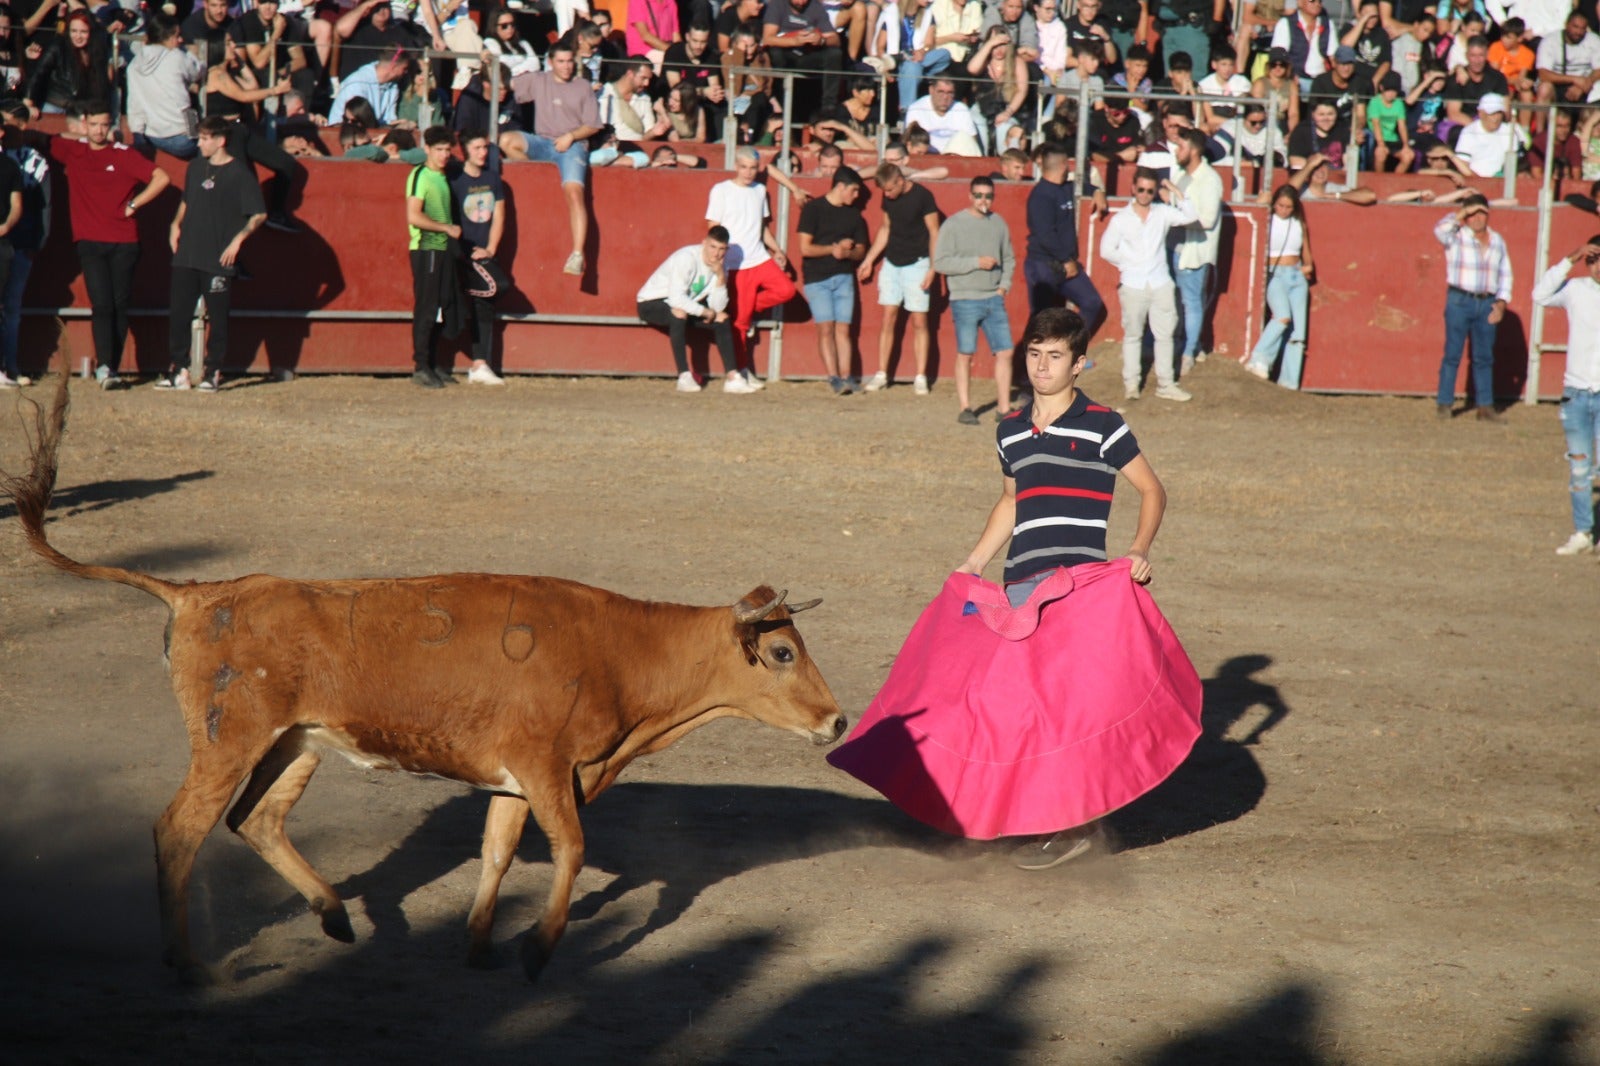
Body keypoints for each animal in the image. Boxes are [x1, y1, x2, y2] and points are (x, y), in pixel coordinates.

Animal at [0, 371, 851, 979]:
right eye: (783, 653)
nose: (838, 719)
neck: (620, 651)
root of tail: (199, 592)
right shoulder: (547, 768)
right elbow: (572, 849)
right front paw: (535, 951)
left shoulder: (515, 778)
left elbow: (498, 851)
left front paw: (477, 944)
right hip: (228, 741)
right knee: (181, 830)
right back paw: (188, 963)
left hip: (296, 743)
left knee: (258, 820)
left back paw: (335, 915)